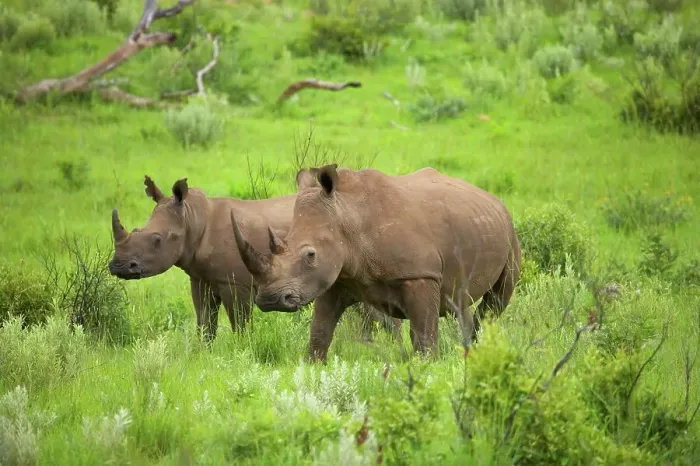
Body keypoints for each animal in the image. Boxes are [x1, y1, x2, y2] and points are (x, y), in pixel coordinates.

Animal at [108, 175, 398, 342]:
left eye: (157, 240)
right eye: (137, 230)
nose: (119, 266)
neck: (193, 218)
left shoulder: (235, 282)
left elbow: (239, 323)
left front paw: (241, 350)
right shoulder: (200, 278)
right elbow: (204, 322)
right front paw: (203, 353)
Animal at [229, 164, 521, 361]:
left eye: (310, 255)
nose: (270, 300)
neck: (347, 218)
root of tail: (493, 199)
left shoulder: (421, 274)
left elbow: (424, 335)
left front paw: (426, 369)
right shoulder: (335, 278)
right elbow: (320, 332)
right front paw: (313, 366)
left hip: (509, 232)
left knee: (495, 303)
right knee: (462, 303)